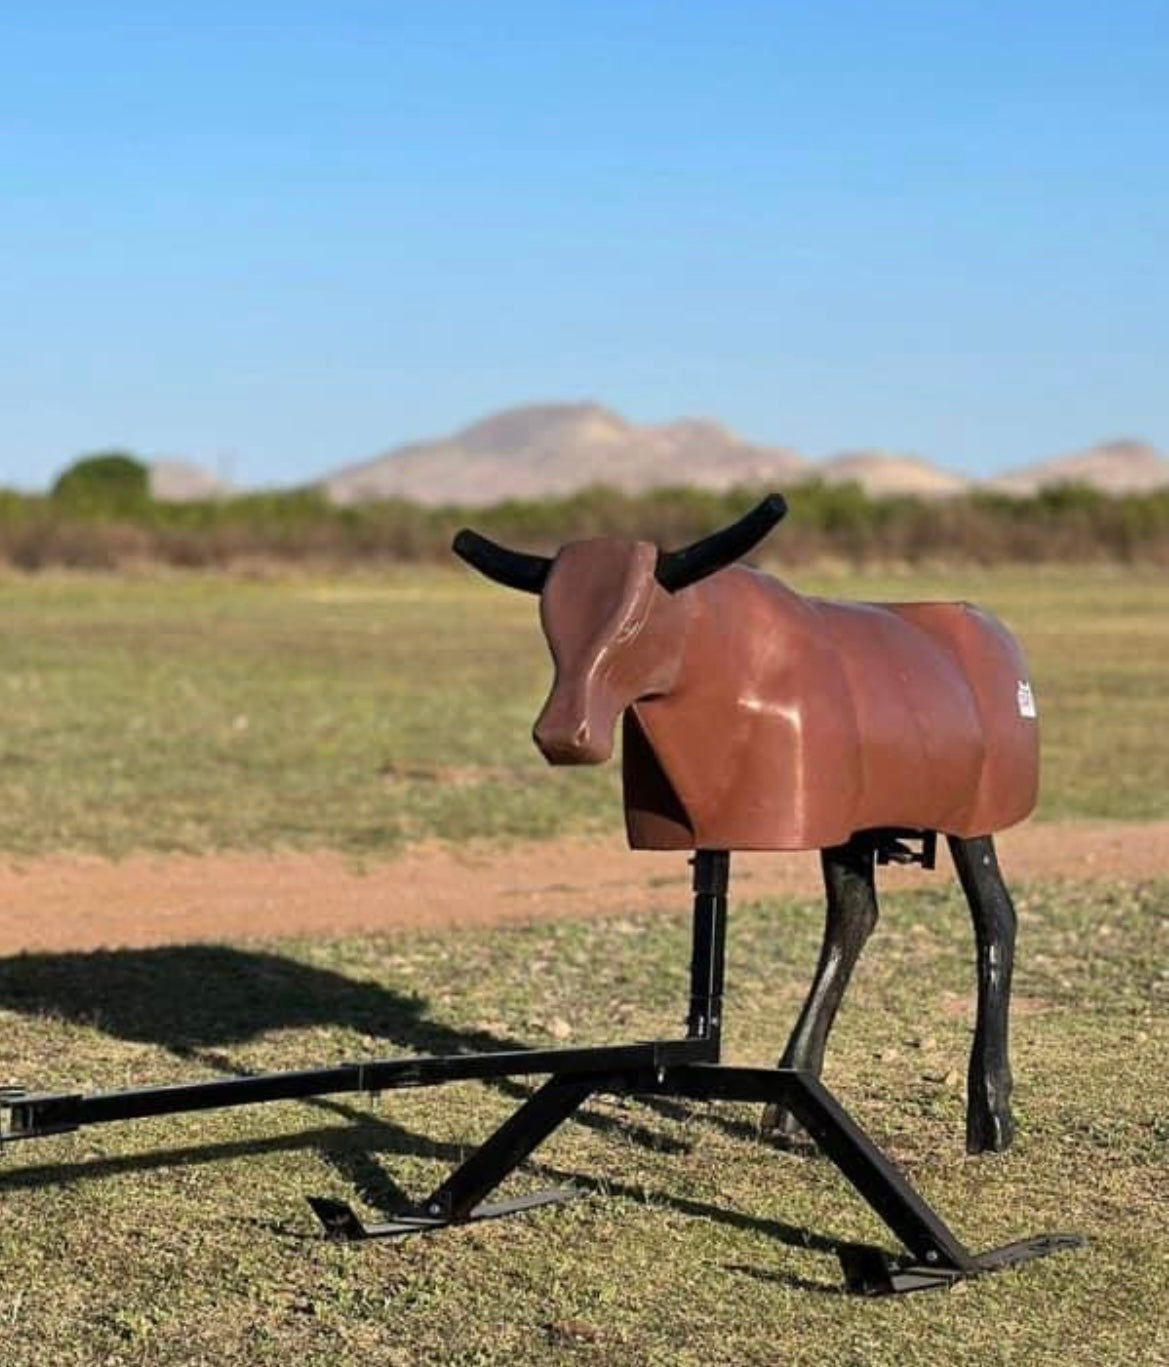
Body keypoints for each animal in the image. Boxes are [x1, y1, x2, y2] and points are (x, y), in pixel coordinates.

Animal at [453, 494, 1039, 1154]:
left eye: (632, 623)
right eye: (550, 622)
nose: (561, 735)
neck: (712, 672)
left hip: (972, 818)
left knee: (996, 916)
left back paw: (989, 1111)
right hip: (853, 824)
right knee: (855, 916)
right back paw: (790, 1102)